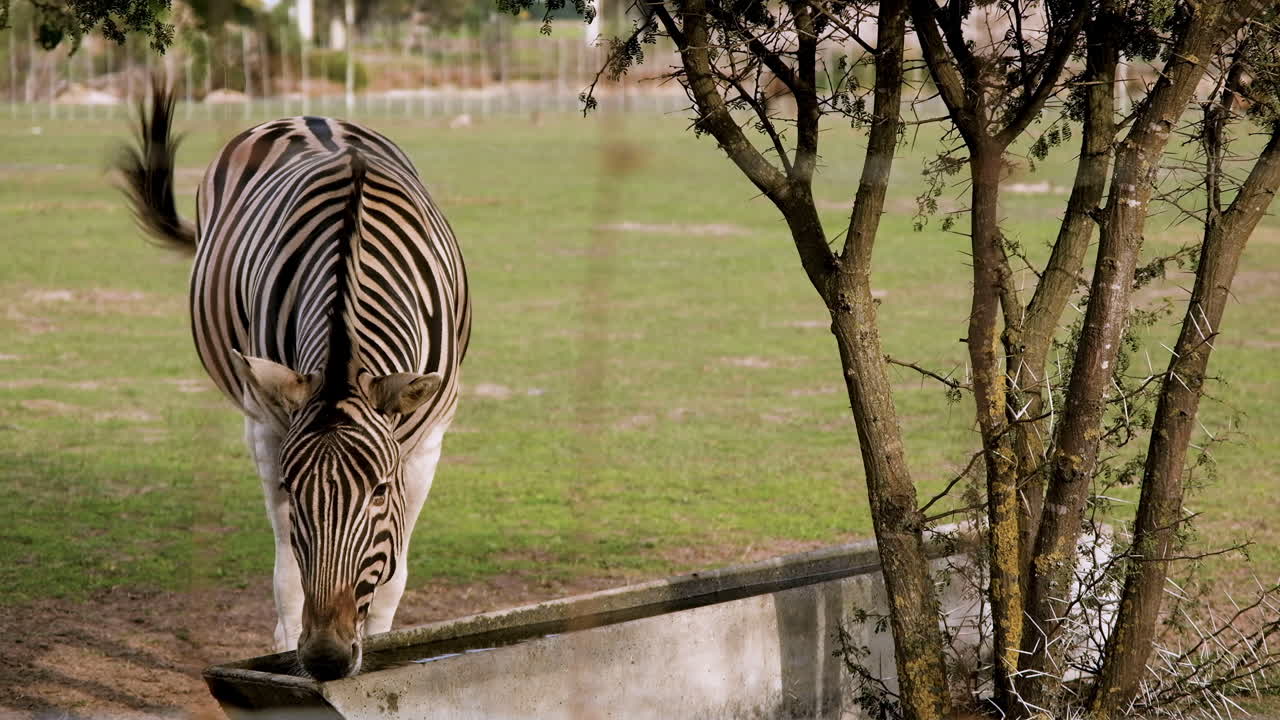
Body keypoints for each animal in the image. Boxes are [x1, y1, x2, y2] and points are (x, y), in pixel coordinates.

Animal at [117, 87, 470, 680]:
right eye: (292, 487)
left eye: (379, 491)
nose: (326, 658)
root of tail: (309, 114)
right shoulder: (272, 429)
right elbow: (288, 572)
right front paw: (287, 650)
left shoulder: (427, 442)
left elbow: (394, 574)